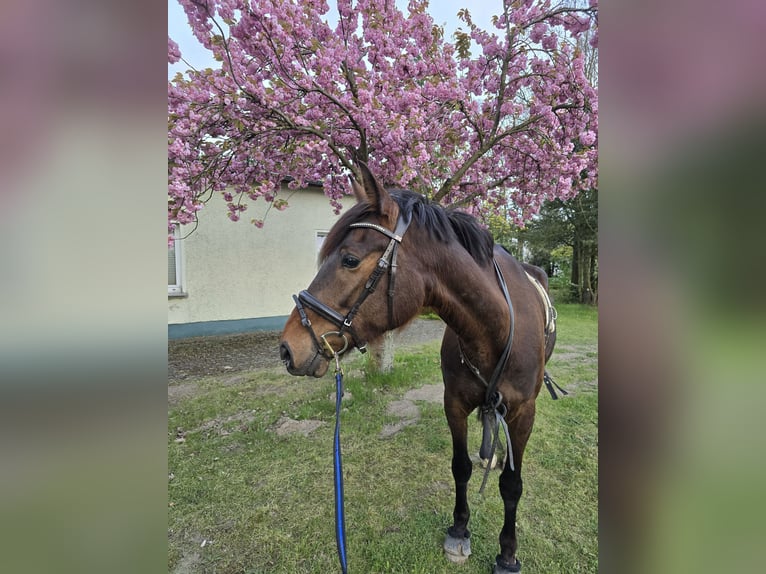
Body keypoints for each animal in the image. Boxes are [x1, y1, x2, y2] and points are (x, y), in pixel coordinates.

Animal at [280, 164, 560, 572]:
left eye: (349, 260)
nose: (287, 348)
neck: (494, 328)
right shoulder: (454, 402)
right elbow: (460, 466)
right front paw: (459, 530)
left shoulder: (524, 412)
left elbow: (512, 485)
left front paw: (507, 553)